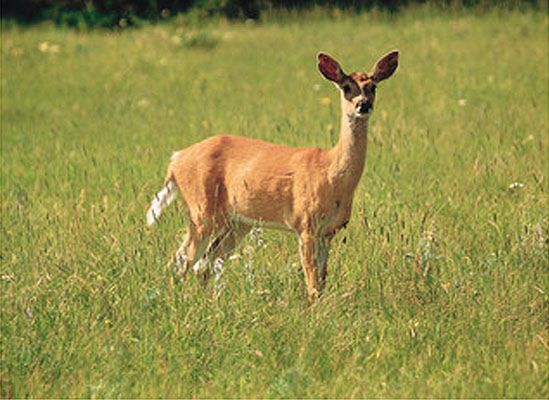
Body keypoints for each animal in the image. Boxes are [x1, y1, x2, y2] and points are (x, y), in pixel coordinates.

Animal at [147, 50, 398, 300]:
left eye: (373, 87)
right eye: (346, 87)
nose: (363, 105)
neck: (331, 174)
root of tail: (176, 159)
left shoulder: (328, 232)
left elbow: (323, 279)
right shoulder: (305, 223)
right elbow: (312, 282)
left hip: (236, 222)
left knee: (203, 263)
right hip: (200, 211)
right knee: (181, 260)